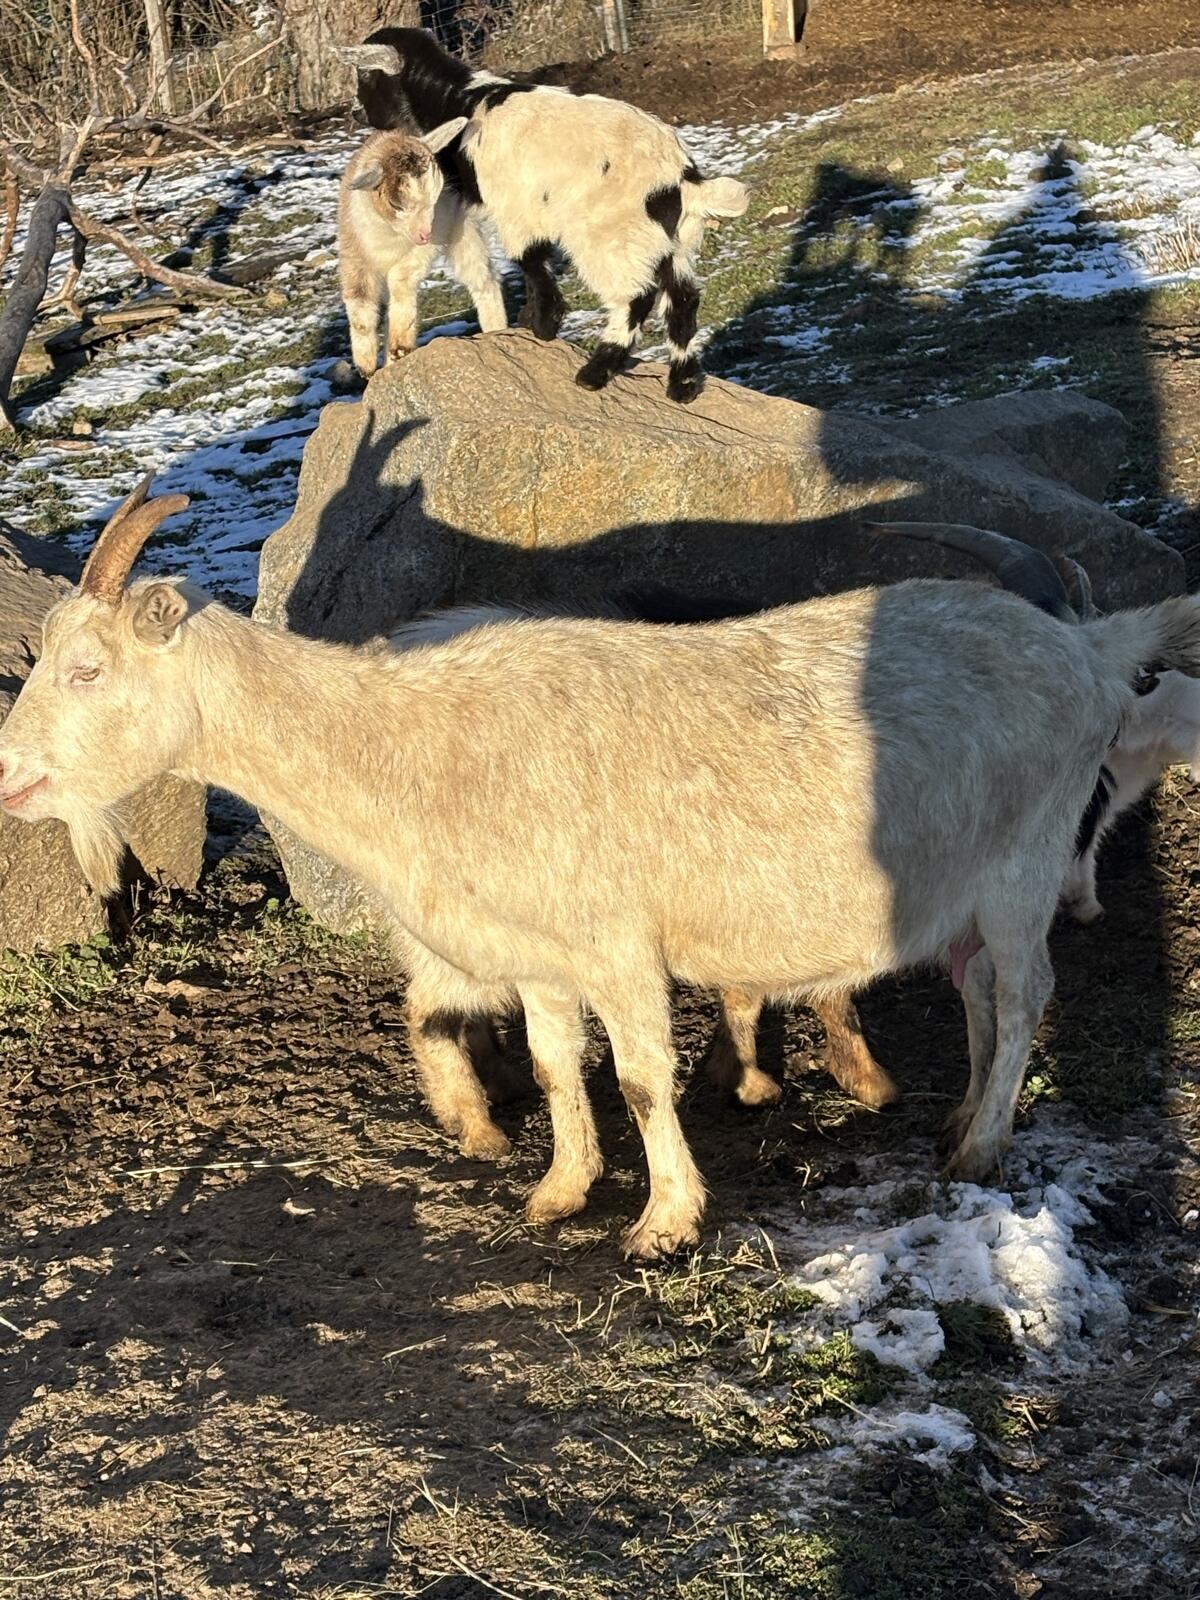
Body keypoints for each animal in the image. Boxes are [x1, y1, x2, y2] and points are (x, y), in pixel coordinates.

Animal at [6, 483, 1198, 1258]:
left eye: (87, 668)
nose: (11, 776)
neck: (416, 747)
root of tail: (1086, 650)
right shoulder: (537, 952)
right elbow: (550, 1066)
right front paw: (560, 1188)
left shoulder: (618, 942)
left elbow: (636, 1076)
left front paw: (663, 1223)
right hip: (963, 881)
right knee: (981, 988)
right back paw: (954, 1120)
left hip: (1028, 853)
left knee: (1028, 988)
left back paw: (980, 1148)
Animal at [339, 119, 507, 377]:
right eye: (395, 203)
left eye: (436, 197)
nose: (423, 234)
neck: (390, 236)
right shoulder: (354, 254)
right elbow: (360, 306)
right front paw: (366, 365)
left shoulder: (433, 235)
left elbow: (401, 281)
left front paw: (399, 348)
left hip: (463, 229)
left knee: (483, 279)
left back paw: (497, 331)